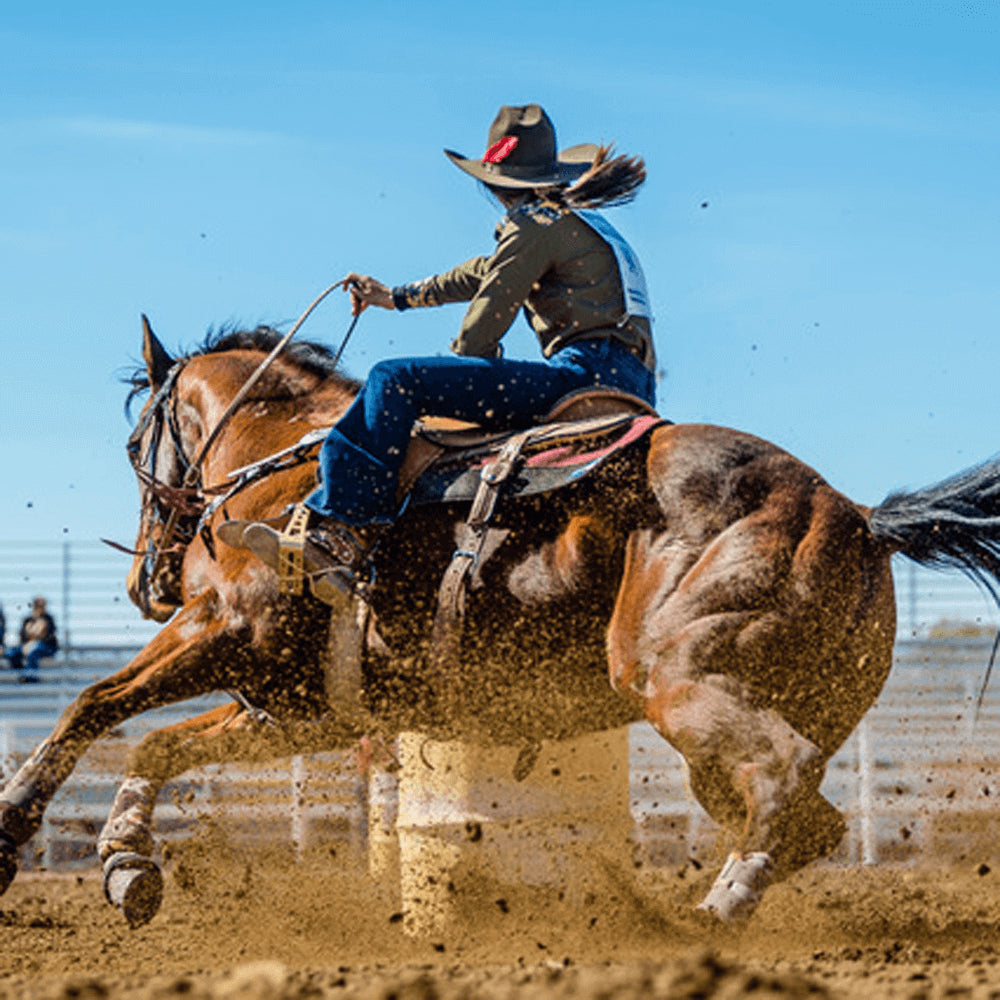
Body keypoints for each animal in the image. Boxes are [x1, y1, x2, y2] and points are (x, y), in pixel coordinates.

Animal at [1, 315, 999, 929]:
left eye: (136, 444)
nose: (145, 584)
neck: (280, 471)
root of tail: (857, 515)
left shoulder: (222, 632)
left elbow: (94, 704)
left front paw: (14, 826)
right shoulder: (301, 706)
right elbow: (158, 744)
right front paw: (125, 863)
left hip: (676, 679)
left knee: (783, 781)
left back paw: (701, 925)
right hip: (756, 722)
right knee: (802, 818)